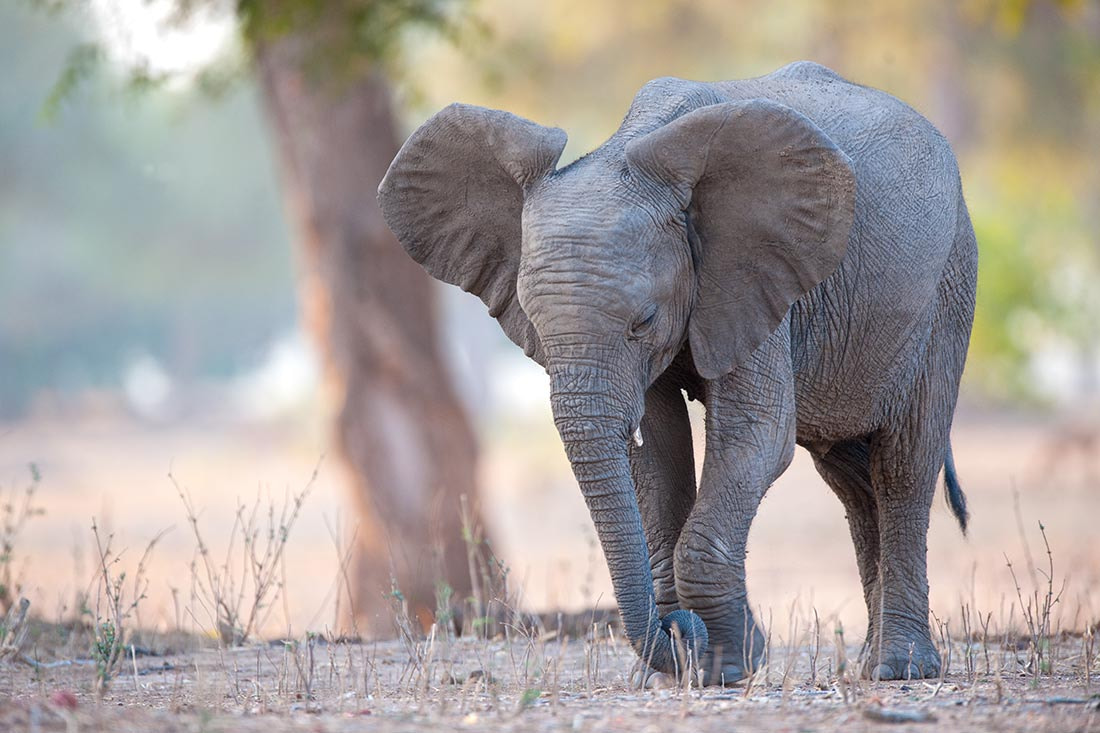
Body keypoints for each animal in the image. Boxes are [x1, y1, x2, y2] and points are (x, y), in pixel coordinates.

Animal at [380, 59, 981, 682]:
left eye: (643, 320)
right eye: (536, 326)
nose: (678, 629)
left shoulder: (751, 274)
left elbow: (757, 437)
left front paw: (729, 664)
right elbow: (657, 450)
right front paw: (689, 665)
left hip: (950, 285)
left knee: (904, 466)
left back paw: (900, 669)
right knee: (852, 480)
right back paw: (866, 665)